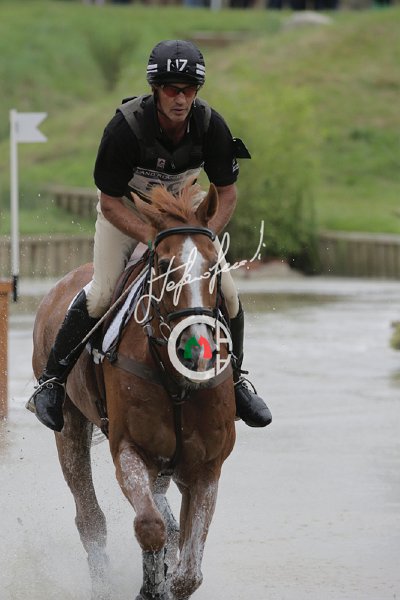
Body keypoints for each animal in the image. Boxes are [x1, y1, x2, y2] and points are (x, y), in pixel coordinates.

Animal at [31, 182, 236, 600]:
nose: (198, 351)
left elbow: (188, 571)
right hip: (70, 427)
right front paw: (150, 587)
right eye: (163, 267)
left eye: (214, 267)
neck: (177, 383)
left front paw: (168, 581)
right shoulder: (130, 448)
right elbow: (150, 527)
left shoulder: (206, 467)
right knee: (90, 519)